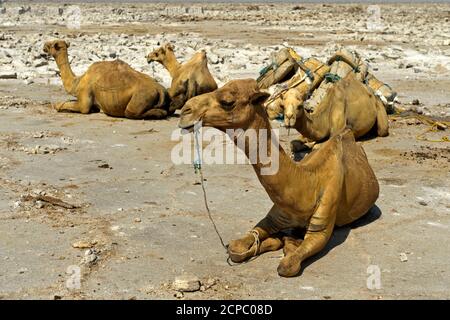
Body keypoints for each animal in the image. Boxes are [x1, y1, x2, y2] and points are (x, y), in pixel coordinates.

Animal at [178, 79, 380, 276]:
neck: (309, 184)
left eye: (227, 101)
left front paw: (288, 244)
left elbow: (287, 266)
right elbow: (235, 248)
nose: (185, 111)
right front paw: (274, 241)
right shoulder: (274, 218)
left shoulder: (321, 228)